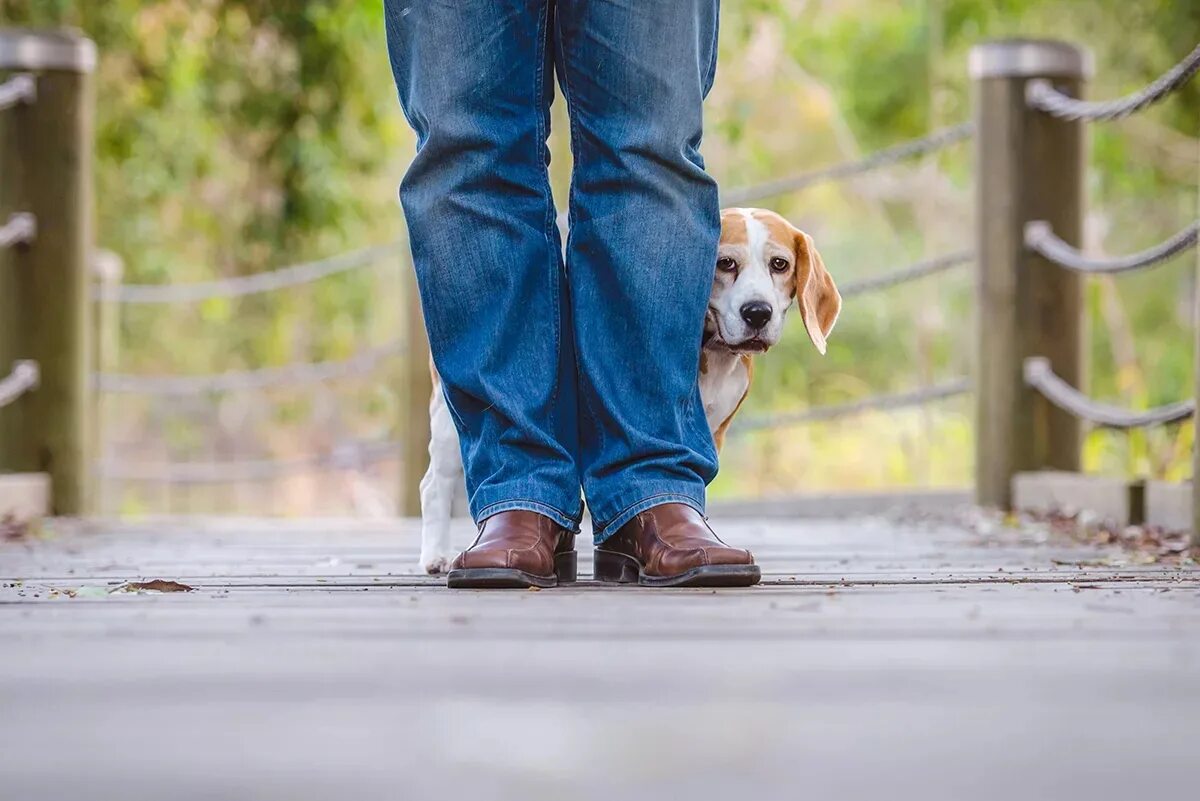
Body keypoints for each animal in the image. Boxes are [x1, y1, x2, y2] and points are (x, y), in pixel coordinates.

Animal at [417, 206, 840, 568]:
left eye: (779, 265)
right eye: (725, 263)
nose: (757, 313)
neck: (713, 354)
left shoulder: (711, 432)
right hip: (449, 423)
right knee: (434, 484)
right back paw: (436, 555)